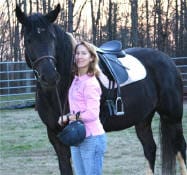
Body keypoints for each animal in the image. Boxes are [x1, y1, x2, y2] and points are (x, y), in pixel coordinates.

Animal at [15, 3, 186, 175]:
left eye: (52, 38)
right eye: (28, 40)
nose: (50, 76)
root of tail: (168, 60)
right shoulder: (55, 136)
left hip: (172, 118)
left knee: (180, 148)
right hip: (143, 118)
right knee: (150, 148)